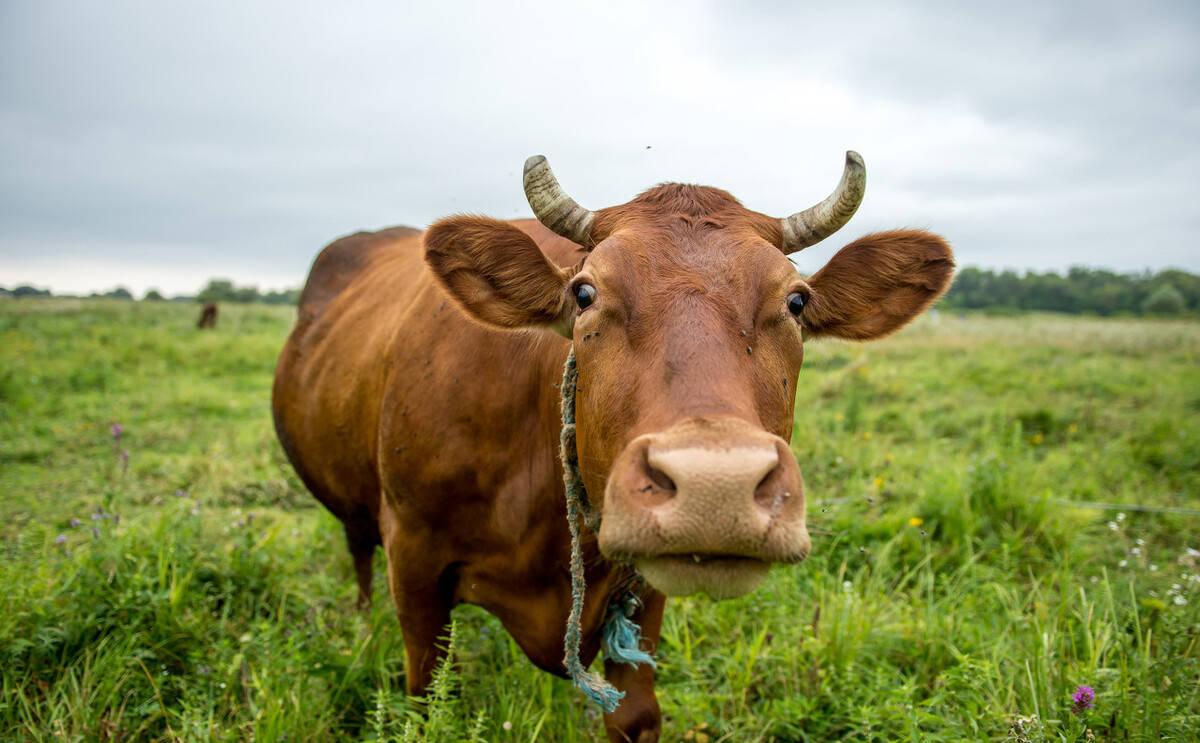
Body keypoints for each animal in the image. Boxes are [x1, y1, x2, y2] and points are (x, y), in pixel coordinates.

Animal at [274, 152, 955, 743]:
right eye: (584, 294)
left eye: (796, 300)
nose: (717, 488)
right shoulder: (414, 559)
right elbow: (428, 700)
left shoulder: (642, 588)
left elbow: (635, 714)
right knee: (359, 553)